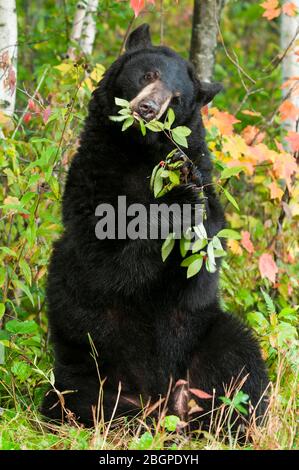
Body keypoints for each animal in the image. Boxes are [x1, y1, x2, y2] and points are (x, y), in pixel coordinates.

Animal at [41, 24, 268, 430]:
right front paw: (174, 203)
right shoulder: (93, 182)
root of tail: (160, 401)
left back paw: (233, 422)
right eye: (149, 75)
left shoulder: (205, 184)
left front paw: (184, 197)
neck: (139, 154)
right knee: (74, 398)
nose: (147, 109)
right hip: (83, 368)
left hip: (206, 336)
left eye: (177, 98)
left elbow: (201, 267)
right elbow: (106, 259)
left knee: (239, 361)